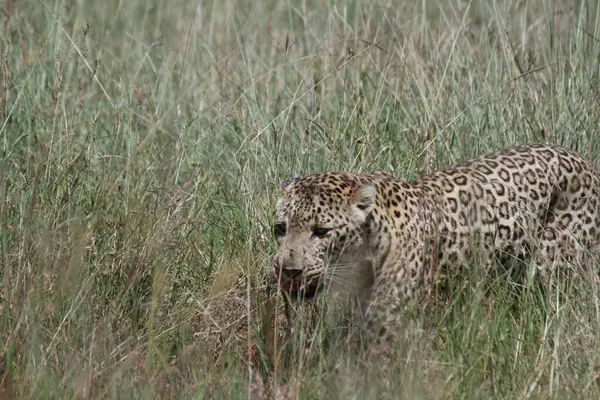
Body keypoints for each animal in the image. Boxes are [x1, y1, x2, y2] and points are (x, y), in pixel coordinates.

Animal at [270, 144, 600, 346]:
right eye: (280, 228)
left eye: (321, 231)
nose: (288, 270)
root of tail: (582, 160)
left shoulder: (387, 325)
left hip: (550, 266)